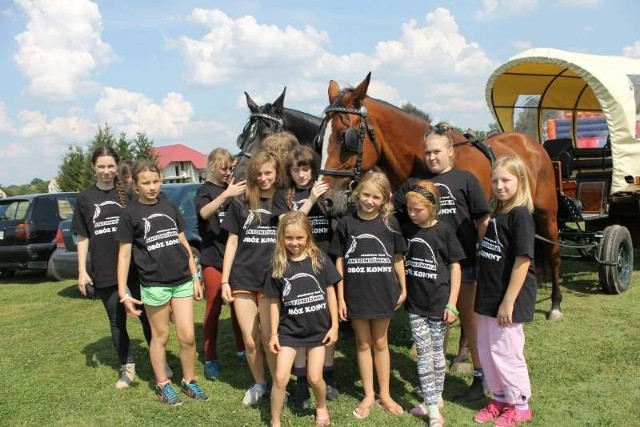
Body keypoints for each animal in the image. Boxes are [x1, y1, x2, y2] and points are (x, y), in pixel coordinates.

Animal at [318, 74, 564, 320]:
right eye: (320, 140)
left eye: (345, 137)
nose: (325, 200)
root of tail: (530, 142)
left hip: (548, 214)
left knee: (553, 252)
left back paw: (555, 304)